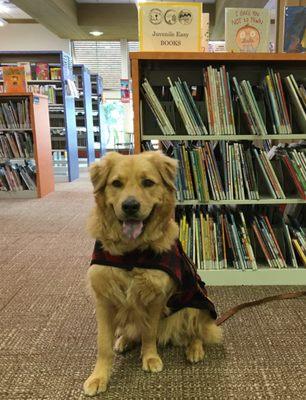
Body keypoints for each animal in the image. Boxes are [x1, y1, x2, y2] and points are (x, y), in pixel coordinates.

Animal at [83, 152, 222, 396]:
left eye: (148, 182)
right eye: (116, 183)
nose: (130, 206)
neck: (131, 254)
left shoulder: (157, 296)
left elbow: (149, 332)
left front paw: (150, 357)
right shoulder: (104, 299)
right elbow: (103, 345)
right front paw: (98, 377)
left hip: (197, 302)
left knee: (197, 331)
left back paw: (194, 350)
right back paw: (124, 340)